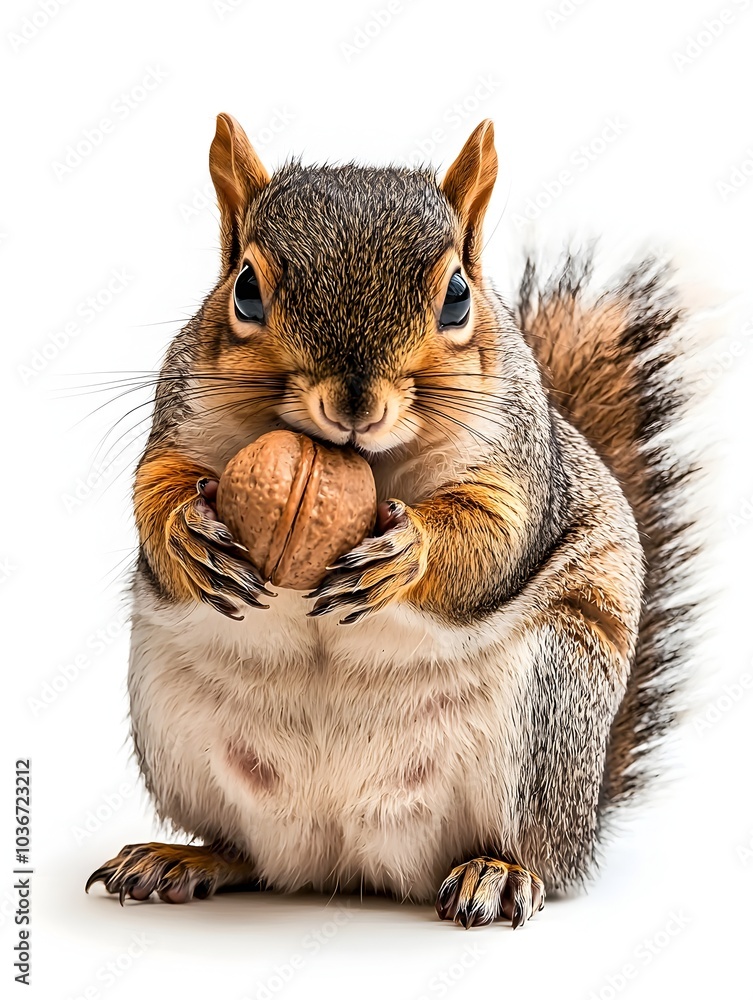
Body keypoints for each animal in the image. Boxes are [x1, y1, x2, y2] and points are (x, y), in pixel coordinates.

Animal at [86, 113, 694, 928]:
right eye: (245, 289)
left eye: (458, 297)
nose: (352, 403)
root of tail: (347, 861)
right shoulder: (180, 417)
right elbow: (153, 488)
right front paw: (187, 534)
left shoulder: (516, 462)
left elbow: (494, 537)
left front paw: (406, 553)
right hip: (171, 725)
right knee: (246, 852)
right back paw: (182, 858)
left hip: (546, 713)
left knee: (536, 854)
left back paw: (499, 872)